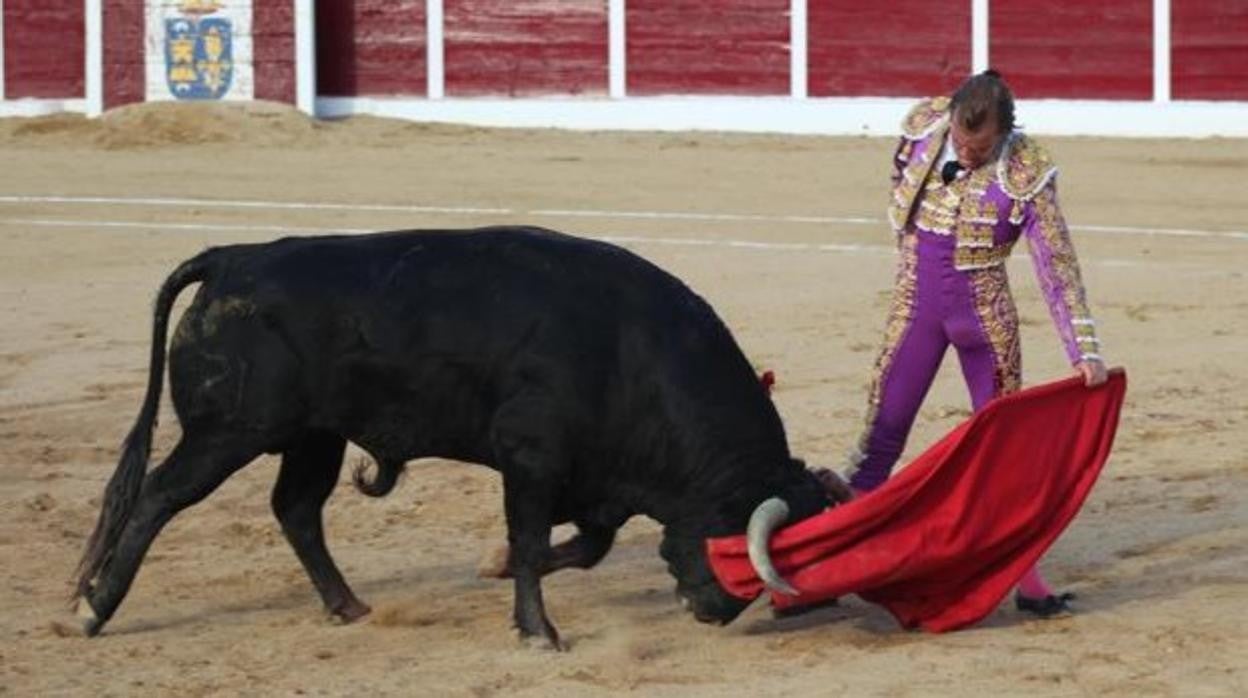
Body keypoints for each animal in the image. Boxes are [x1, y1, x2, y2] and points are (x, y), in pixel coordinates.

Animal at [68, 227, 828, 649]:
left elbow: (585, 546)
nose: (709, 613)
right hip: (229, 431)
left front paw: (496, 568)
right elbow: (534, 540)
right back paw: (91, 610)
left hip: (315, 437)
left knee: (297, 509)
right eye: (737, 551)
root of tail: (232, 259)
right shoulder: (530, 456)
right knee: (158, 498)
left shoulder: (591, 479)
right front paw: (538, 632)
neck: (631, 349)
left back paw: (347, 606)